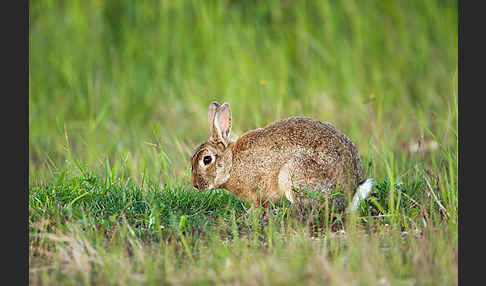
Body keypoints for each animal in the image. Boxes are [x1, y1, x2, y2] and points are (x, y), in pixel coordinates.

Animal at [190, 101, 372, 212]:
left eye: (207, 159)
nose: (195, 185)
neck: (232, 163)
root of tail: (352, 191)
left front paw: (249, 214)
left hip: (293, 175)